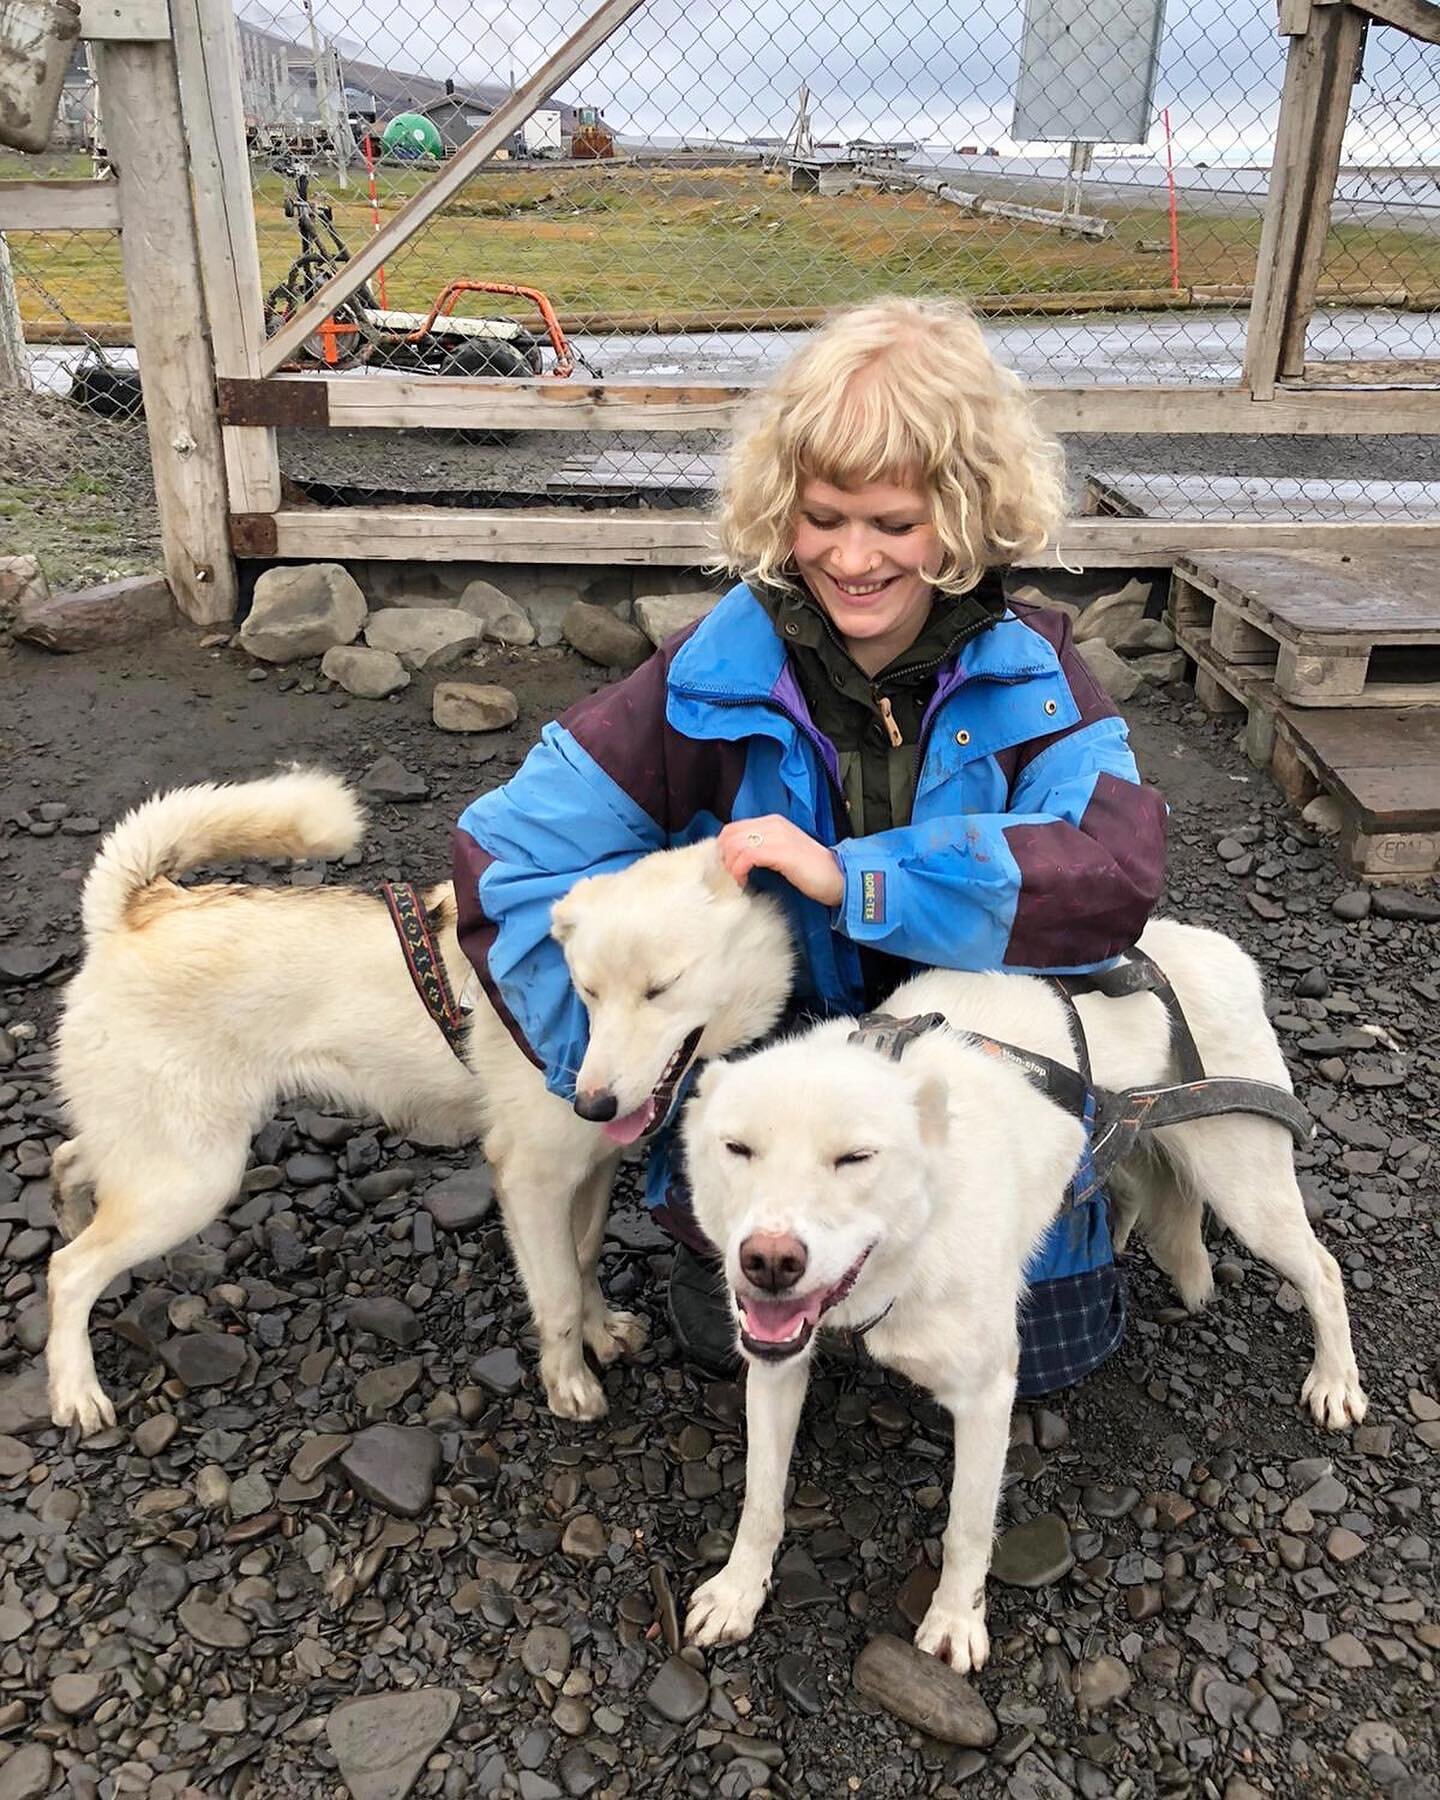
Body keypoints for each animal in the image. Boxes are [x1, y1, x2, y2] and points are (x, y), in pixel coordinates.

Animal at [680, 928, 1368, 1670]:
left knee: (1324, 1272)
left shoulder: (986, 1395)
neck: (908, 1249)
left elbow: (966, 1527)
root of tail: (1221, 949)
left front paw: (956, 1622)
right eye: (737, 1148)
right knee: (1128, 1183)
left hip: (1246, 1189)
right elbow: (760, 1499)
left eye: (855, 1158)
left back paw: (1335, 1381)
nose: (770, 1262)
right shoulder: (776, 1366)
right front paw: (738, 1590)